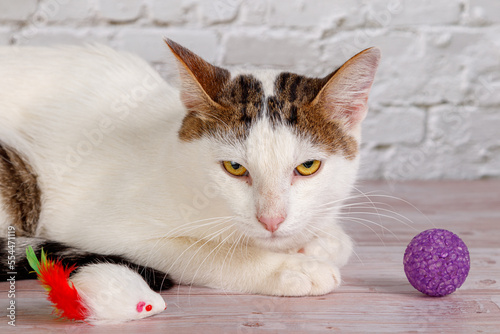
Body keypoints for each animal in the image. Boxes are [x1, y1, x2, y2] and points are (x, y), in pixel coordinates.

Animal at [0, 39, 378, 298]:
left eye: (308, 166)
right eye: (235, 167)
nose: (271, 220)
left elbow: (337, 240)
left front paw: (318, 242)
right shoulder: (105, 227)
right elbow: (208, 253)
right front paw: (291, 267)